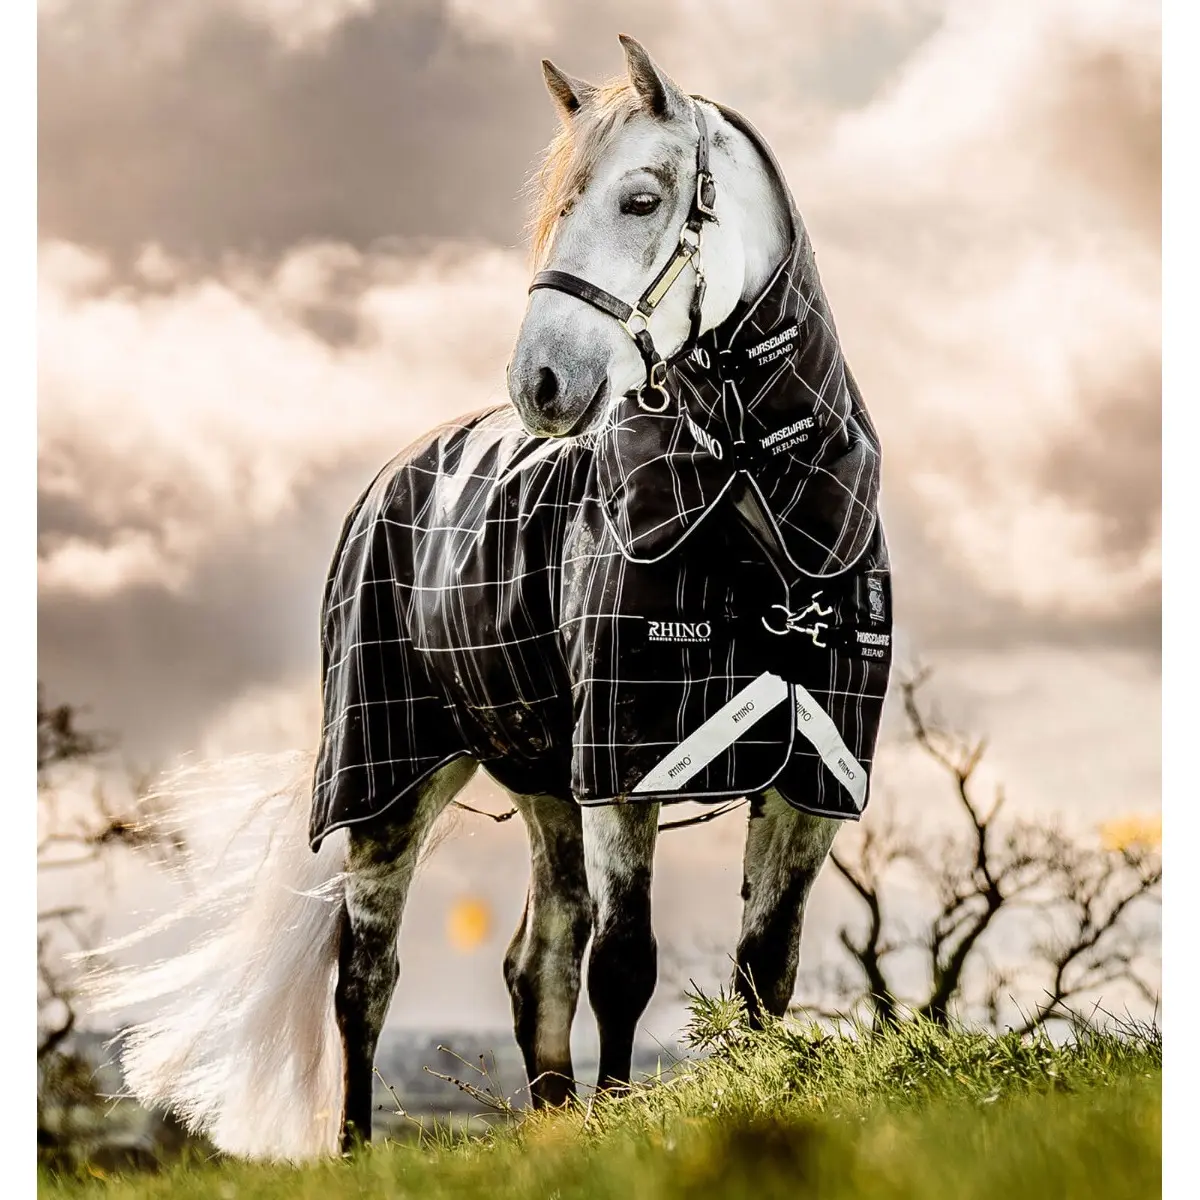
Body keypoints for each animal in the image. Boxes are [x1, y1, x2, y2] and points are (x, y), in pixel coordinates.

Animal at [88, 35, 892, 1163]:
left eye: (642, 198)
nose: (541, 382)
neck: (751, 511)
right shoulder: (625, 769)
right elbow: (626, 964)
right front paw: (620, 1127)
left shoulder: (811, 777)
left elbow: (760, 972)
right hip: (389, 783)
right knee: (368, 974)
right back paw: (357, 1149)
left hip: (545, 784)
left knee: (536, 960)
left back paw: (549, 1121)